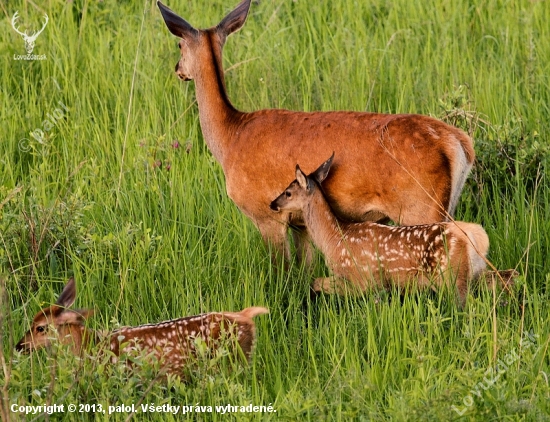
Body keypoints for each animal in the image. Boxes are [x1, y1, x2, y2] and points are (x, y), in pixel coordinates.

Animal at [157, 0, 476, 266]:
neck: (230, 138)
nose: (177, 69)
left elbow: (282, 272)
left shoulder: (266, 214)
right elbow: (305, 268)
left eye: (178, 45)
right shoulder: (301, 223)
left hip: (420, 207)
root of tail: (458, 143)